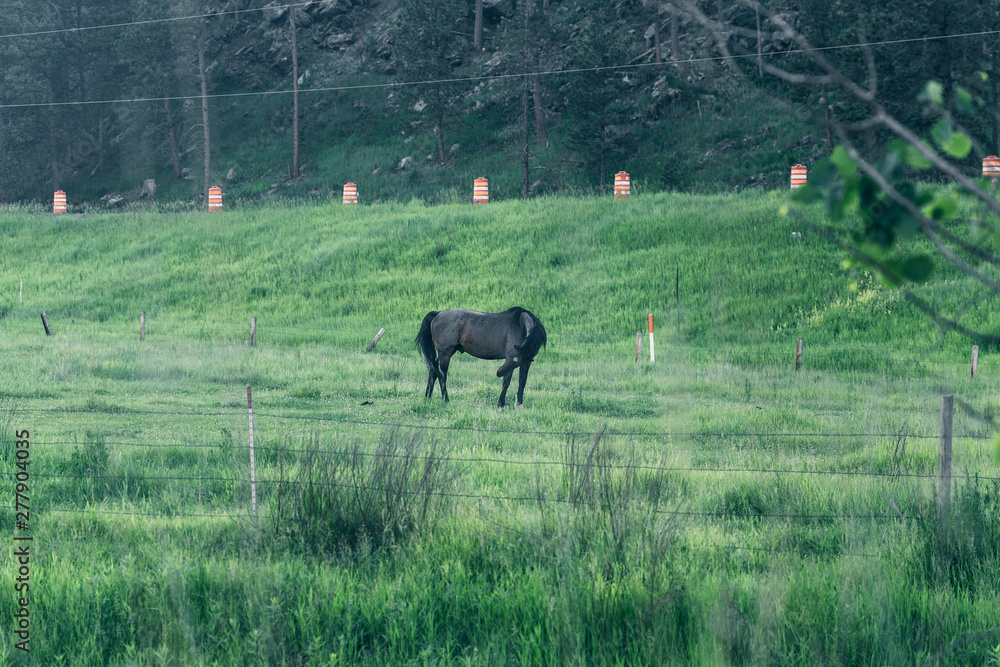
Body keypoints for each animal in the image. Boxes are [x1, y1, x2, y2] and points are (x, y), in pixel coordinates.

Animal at [416, 307, 547, 408]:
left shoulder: (525, 362)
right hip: (445, 354)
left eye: (518, 360)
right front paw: (501, 404)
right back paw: (446, 400)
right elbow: (506, 382)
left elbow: (522, 382)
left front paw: (519, 405)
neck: (519, 325)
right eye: (512, 357)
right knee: (442, 375)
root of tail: (438, 313)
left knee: (433, 372)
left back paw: (428, 398)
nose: (499, 372)